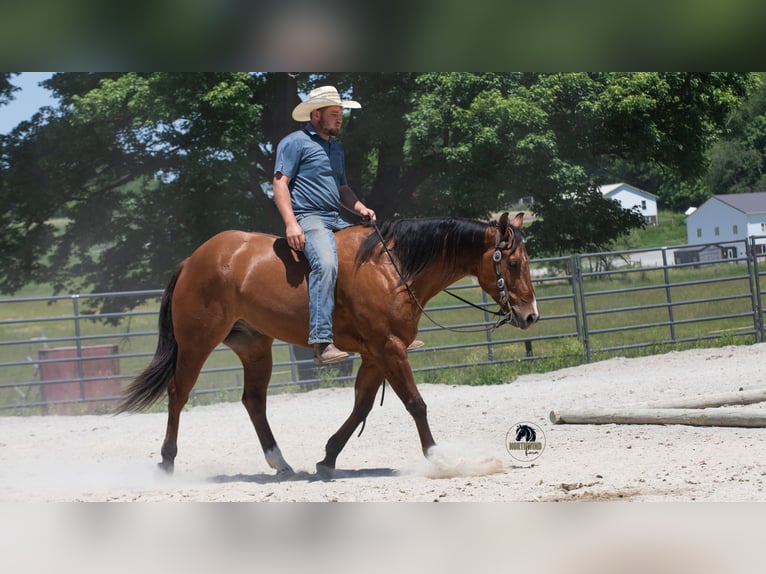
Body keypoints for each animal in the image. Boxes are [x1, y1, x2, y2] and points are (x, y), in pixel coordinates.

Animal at [116, 212, 539, 479]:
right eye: (513, 263)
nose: (531, 314)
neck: (392, 268)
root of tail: (193, 260)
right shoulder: (388, 347)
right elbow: (415, 403)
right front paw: (439, 459)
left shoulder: (376, 353)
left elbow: (362, 406)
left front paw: (328, 457)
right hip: (197, 342)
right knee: (178, 393)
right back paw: (167, 462)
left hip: (255, 347)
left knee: (253, 401)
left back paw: (281, 464)